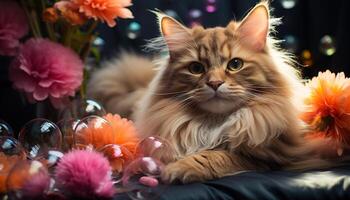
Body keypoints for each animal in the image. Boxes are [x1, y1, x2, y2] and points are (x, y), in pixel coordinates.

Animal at [89, 1, 332, 183]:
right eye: (196, 68)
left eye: (235, 64)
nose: (215, 83)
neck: (213, 124)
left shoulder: (275, 157)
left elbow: (217, 155)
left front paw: (179, 168)